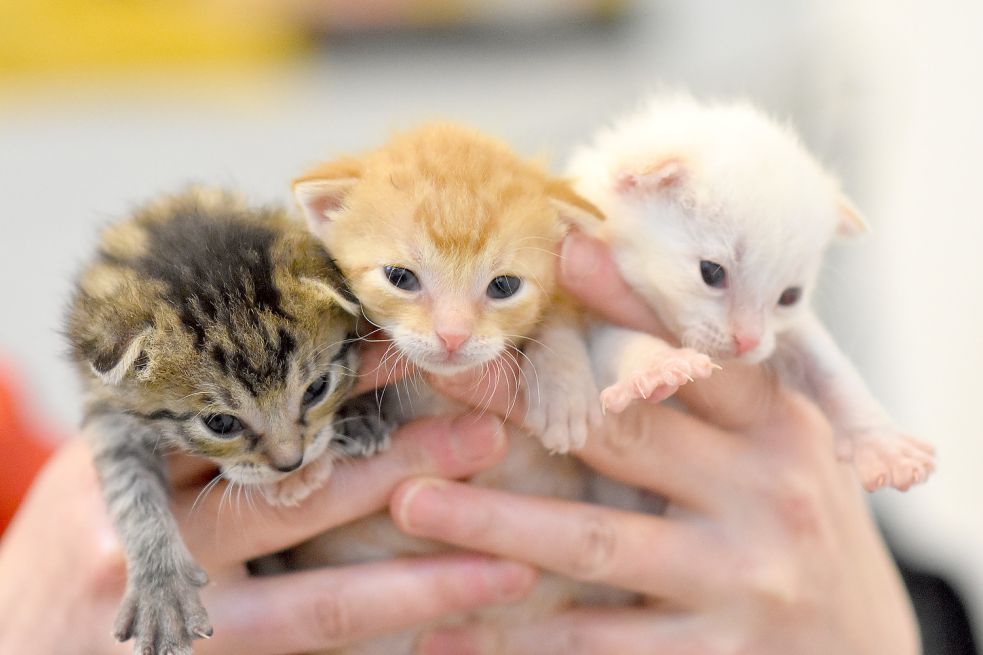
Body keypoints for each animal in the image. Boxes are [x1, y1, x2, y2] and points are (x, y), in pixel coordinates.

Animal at [65, 190, 372, 655]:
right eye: (221, 424)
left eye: (317, 388)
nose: (291, 463)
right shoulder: (105, 407)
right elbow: (127, 487)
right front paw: (161, 589)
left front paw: (367, 418)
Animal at [564, 95, 936, 490]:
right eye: (712, 273)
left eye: (789, 297)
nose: (749, 342)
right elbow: (615, 340)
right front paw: (658, 365)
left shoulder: (785, 335)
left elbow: (828, 364)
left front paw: (882, 443)